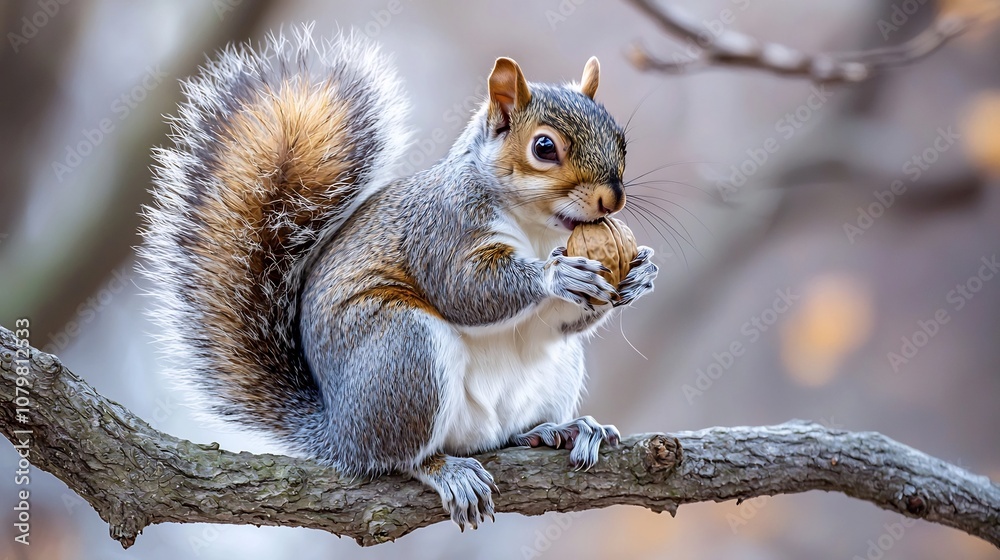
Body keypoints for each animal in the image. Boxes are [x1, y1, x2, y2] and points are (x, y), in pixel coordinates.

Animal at [140, 26, 658, 530]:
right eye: (544, 147)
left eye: (621, 140)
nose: (612, 200)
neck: (537, 228)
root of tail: (338, 433)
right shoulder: (442, 230)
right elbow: (466, 289)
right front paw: (555, 274)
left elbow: (559, 320)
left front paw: (640, 275)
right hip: (403, 351)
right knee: (393, 459)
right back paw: (444, 469)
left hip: (549, 369)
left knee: (505, 432)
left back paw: (558, 429)